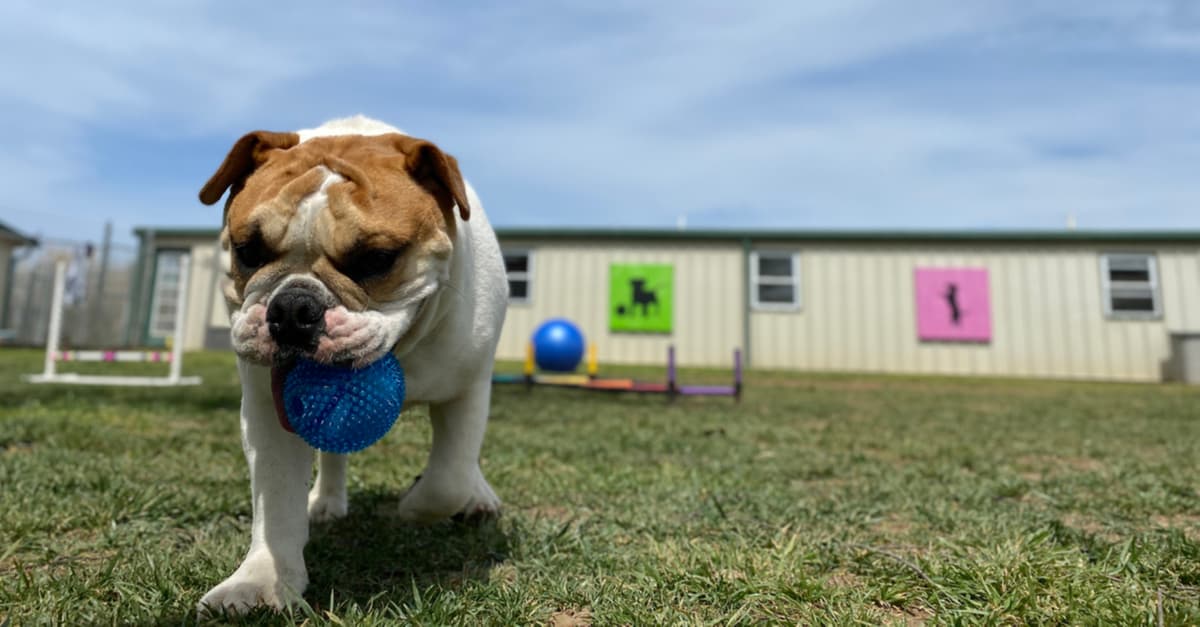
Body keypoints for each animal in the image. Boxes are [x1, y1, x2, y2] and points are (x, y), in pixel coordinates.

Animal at [190, 114, 506, 612]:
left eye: (375, 259)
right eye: (248, 250)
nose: (293, 309)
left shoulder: (468, 388)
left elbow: (450, 476)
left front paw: (415, 505)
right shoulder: (266, 412)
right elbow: (276, 498)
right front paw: (261, 580)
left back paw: (478, 498)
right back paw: (326, 501)